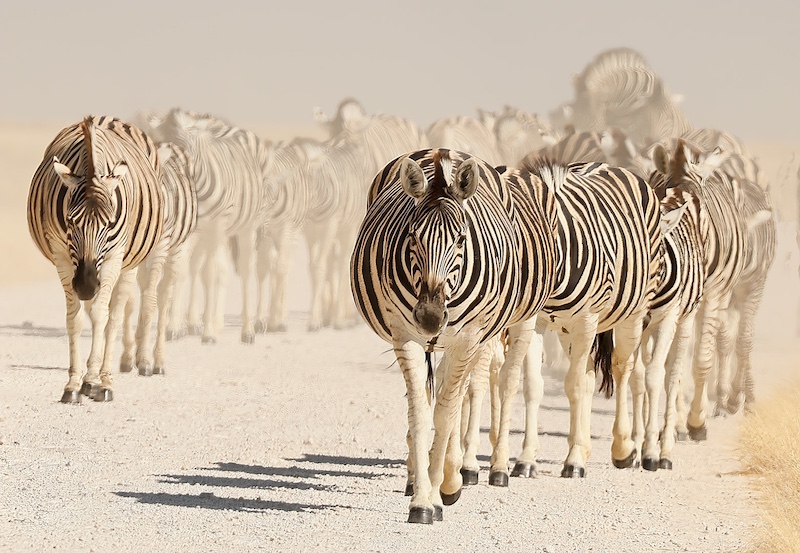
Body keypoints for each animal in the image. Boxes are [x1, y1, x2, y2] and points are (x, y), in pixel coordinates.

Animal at [27, 116, 164, 403]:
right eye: (70, 221)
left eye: (109, 223)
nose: (87, 286)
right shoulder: (62, 255)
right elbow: (75, 318)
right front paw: (73, 384)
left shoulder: (113, 257)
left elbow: (104, 316)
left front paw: (95, 381)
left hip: (128, 264)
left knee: (114, 316)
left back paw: (103, 380)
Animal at [119, 141, 198, 376]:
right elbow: (130, 300)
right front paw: (128, 357)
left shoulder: (160, 248)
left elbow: (150, 302)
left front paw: (145, 360)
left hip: (175, 249)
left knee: (163, 296)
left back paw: (158, 361)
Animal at [350, 149, 559, 523]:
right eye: (412, 236)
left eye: (461, 239)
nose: (430, 317)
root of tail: (442, 152)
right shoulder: (405, 336)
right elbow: (421, 412)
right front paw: (421, 497)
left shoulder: (469, 339)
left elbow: (448, 412)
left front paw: (440, 490)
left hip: (514, 323)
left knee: (498, 385)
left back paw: (488, 469)